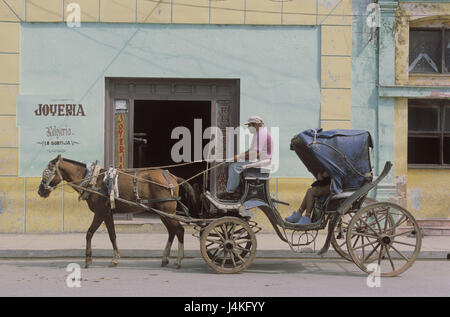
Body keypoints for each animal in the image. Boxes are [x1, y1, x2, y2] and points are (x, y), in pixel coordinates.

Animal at [36, 154, 196, 268]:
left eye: (47, 172)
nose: (40, 191)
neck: (92, 180)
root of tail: (173, 177)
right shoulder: (108, 213)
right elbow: (112, 235)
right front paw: (115, 258)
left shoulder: (100, 212)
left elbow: (89, 233)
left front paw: (88, 259)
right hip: (163, 212)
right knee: (172, 231)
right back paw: (164, 259)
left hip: (166, 211)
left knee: (179, 230)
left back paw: (178, 261)